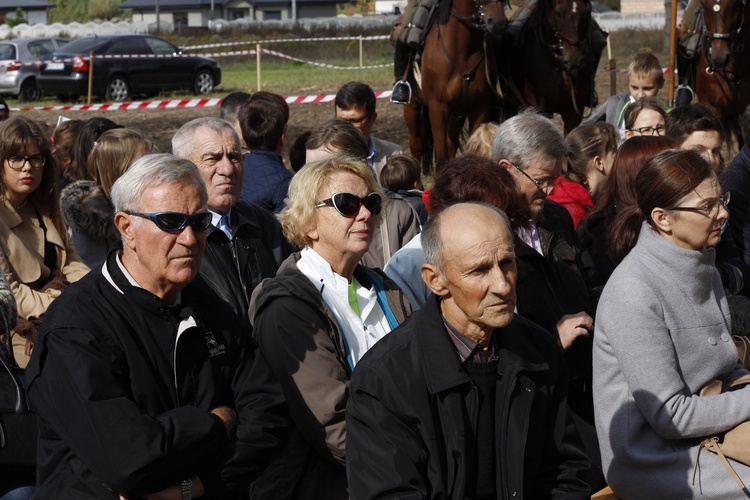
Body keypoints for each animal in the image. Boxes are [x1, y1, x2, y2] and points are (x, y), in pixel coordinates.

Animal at [402, 0, 508, 174]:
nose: (498, 22)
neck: (462, 50)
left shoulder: (478, 108)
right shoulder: (437, 108)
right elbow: (441, 158)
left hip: (457, 113)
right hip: (412, 107)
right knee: (416, 144)